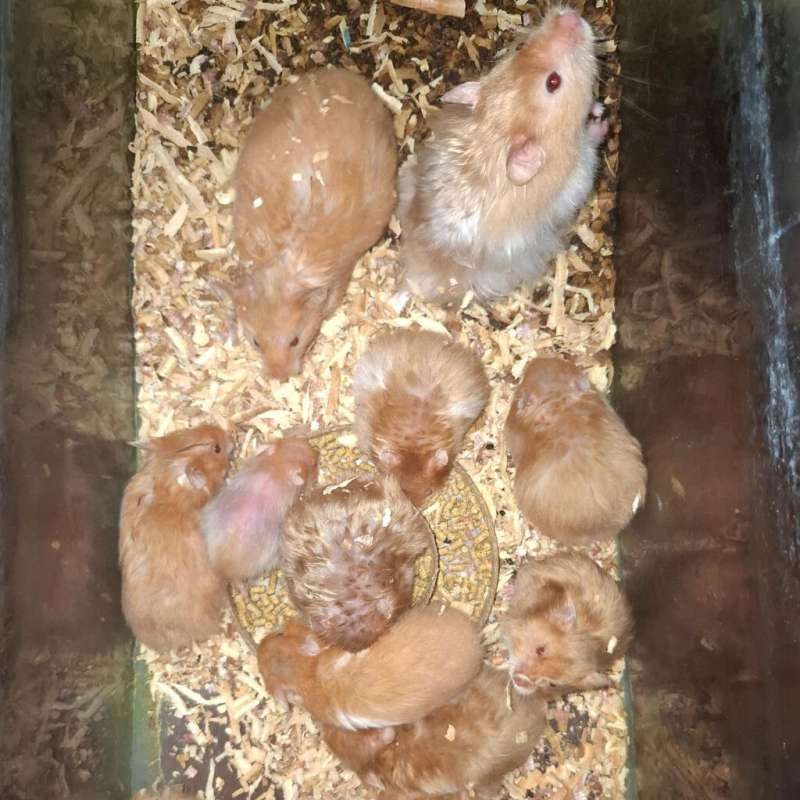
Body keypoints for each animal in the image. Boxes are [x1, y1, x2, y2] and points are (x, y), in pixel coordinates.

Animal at [397, 8, 607, 305]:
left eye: (520, 45)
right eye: (553, 82)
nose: (569, 16)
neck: (498, 133)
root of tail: (411, 280)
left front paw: (597, 108)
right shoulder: (580, 173)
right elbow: (590, 143)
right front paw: (601, 120)